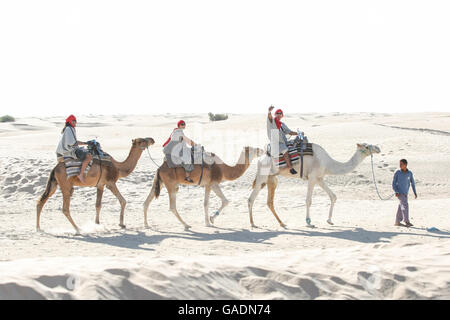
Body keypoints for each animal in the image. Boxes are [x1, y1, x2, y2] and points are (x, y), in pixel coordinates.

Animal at [248, 142, 382, 228]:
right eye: (367, 146)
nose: (378, 148)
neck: (328, 163)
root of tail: (260, 159)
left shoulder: (319, 178)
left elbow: (333, 196)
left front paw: (329, 220)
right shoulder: (312, 177)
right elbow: (308, 200)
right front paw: (309, 222)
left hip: (271, 178)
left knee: (269, 201)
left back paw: (282, 223)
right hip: (263, 175)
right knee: (251, 198)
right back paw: (253, 223)